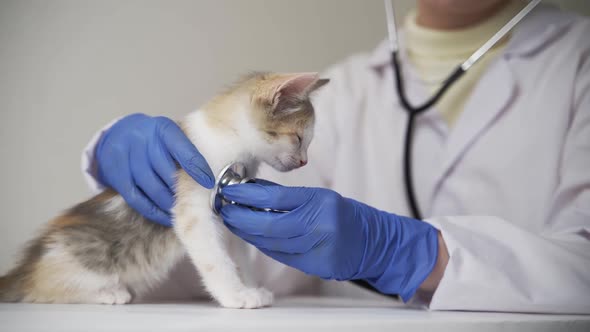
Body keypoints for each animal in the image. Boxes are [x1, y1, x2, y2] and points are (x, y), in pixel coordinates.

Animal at [0, 72, 330, 308]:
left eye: (307, 142)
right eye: (299, 138)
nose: (304, 161)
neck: (230, 136)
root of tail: (27, 266)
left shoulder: (228, 213)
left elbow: (239, 257)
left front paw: (249, 286)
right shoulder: (194, 210)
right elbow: (215, 259)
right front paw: (236, 295)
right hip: (77, 265)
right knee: (43, 290)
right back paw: (109, 292)